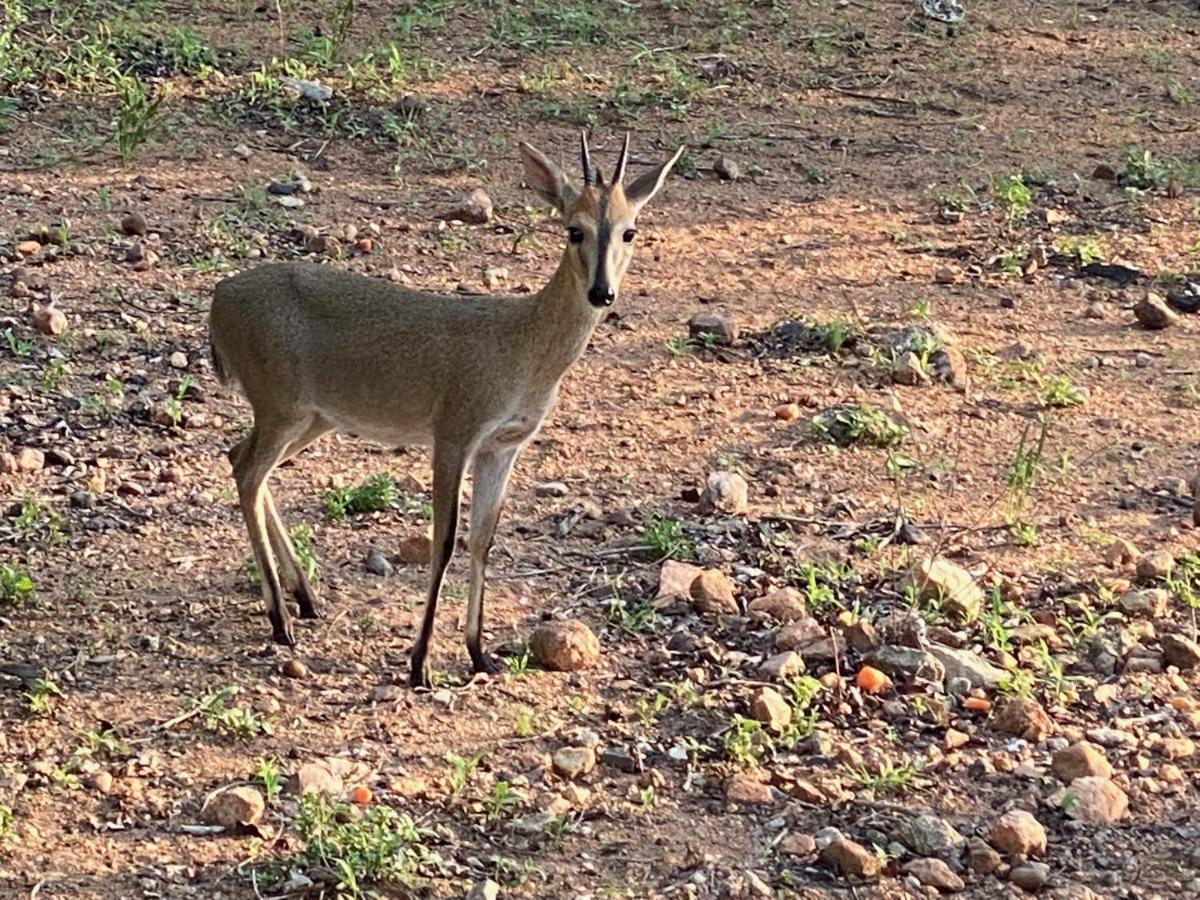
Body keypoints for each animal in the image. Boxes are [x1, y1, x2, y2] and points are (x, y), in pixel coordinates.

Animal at [207, 132, 686, 691]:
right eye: (575, 229)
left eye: (630, 230)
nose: (601, 291)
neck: (522, 347)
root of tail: (219, 297)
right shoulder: (453, 434)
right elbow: (444, 541)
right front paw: (420, 664)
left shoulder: (503, 446)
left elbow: (482, 539)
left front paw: (479, 653)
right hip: (280, 407)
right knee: (247, 471)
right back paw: (280, 620)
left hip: (310, 418)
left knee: (241, 460)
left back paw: (306, 597)